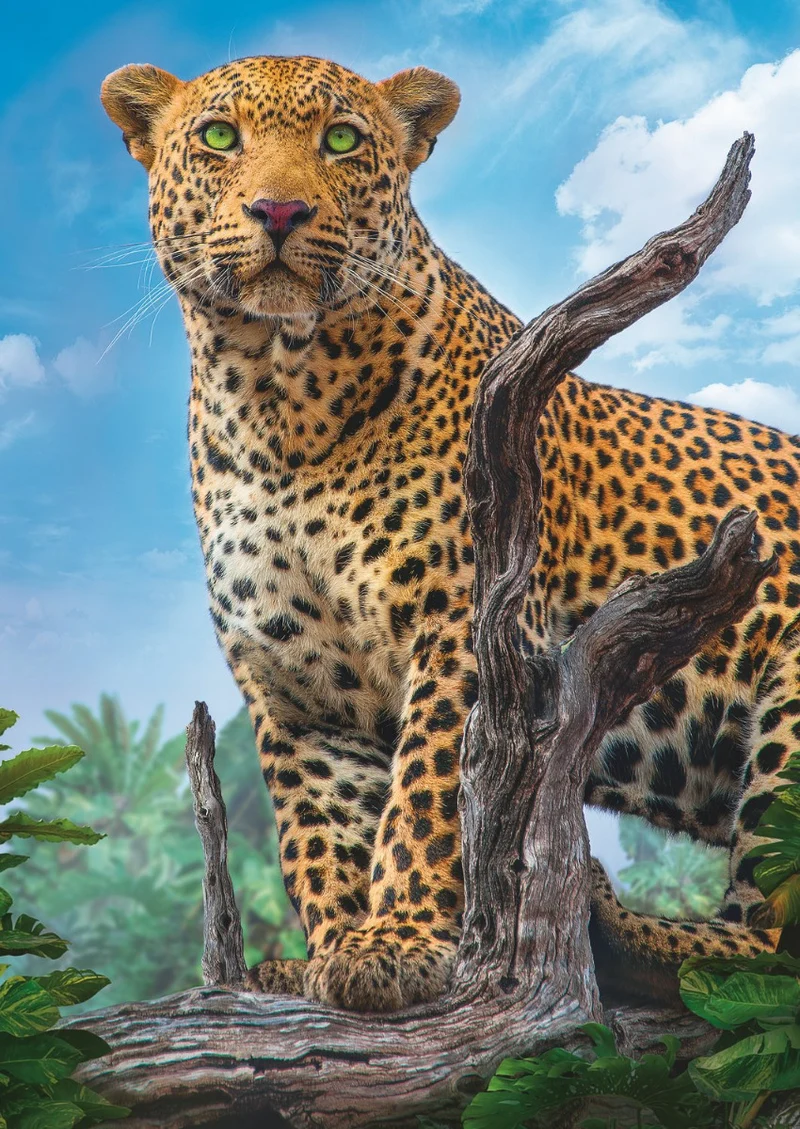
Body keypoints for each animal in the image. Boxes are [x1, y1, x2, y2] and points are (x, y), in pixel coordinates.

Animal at [100, 53, 800, 1013]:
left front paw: (399, 939)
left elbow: (432, 794)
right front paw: (330, 951)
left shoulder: (468, 627)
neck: (277, 399)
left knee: (772, 941)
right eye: (217, 137)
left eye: (341, 139)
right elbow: (320, 831)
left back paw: (613, 923)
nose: (278, 211)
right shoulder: (294, 685)